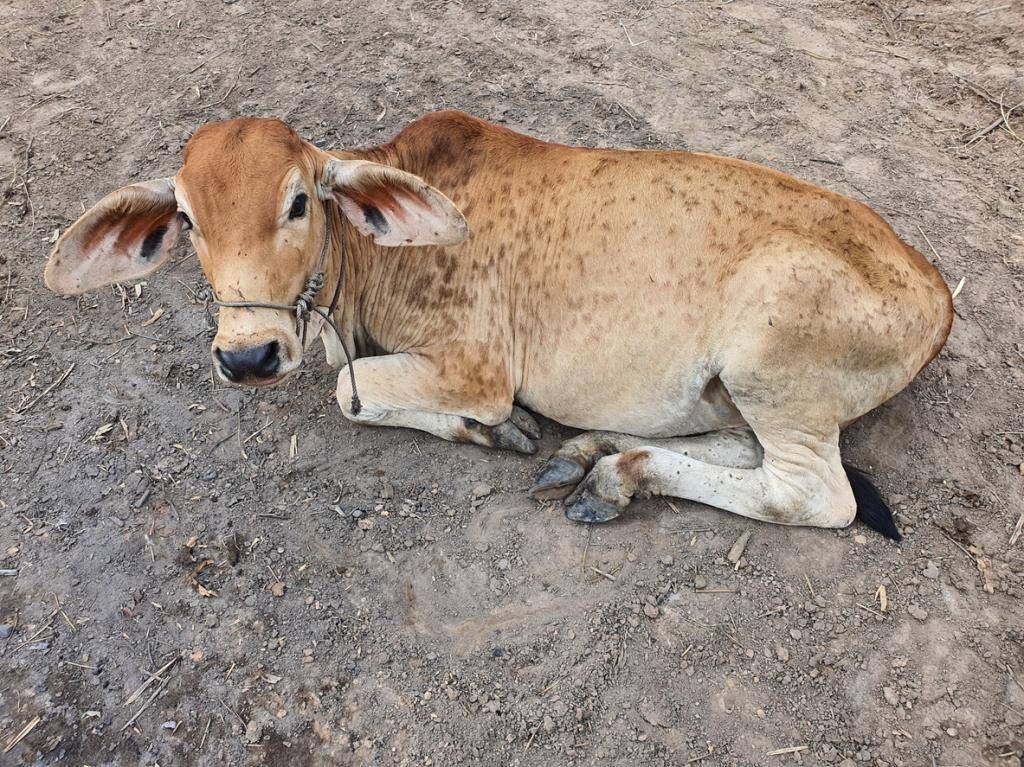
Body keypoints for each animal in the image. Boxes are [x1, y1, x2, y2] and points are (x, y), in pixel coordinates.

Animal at [39, 109, 950, 536]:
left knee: (810, 493)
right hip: (734, 390)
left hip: (774, 367)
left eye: (298, 201)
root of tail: (936, 287)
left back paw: (612, 474)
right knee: (735, 448)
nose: (249, 355)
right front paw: (508, 434)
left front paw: (490, 426)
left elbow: (348, 391)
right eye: (187, 218)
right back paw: (597, 458)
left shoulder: (472, 365)